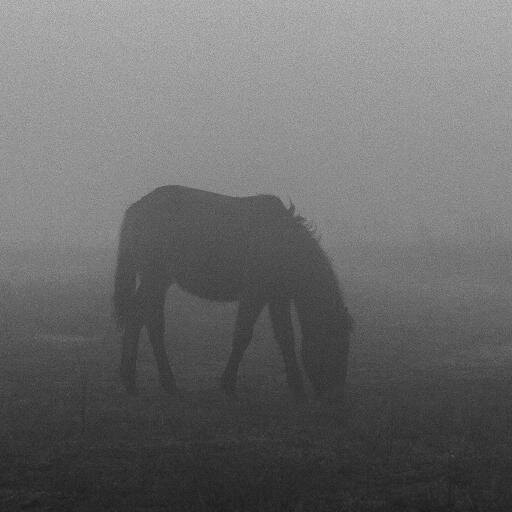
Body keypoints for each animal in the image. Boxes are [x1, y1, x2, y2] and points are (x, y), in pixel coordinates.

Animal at [112, 186, 352, 402]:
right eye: (336, 344)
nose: (337, 395)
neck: (281, 244)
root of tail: (136, 209)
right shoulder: (254, 294)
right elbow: (242, 335)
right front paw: (228, 384)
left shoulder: (277, 297)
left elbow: (285, 337)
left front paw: (297, 388)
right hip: (155, 278)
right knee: (147, 320)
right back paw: (159, 383)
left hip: (159, 281)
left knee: (140, 318)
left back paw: (136, 381)